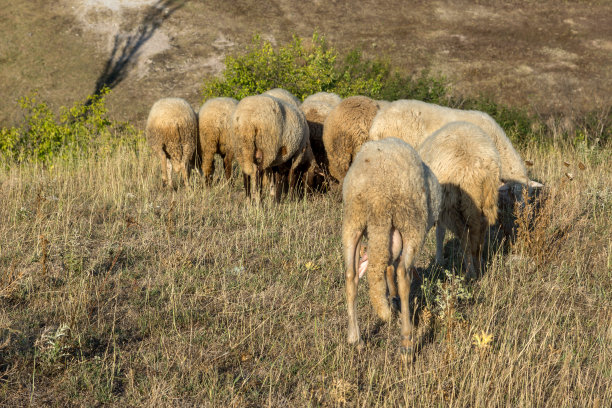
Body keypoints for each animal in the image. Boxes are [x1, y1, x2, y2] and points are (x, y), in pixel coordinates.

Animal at [344, 138, 440, 354]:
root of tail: (378, 196)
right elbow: (398, 272)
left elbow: (389, 269)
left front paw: (392, 301)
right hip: (412, 223)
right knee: (403, 274)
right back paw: (406, 342)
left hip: (353, 222)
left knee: (351, 276)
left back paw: (356, 338)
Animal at [416, 122, 502, 278]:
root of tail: (474, 172)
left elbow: (440, 233)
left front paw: (438, 260)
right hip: (487, 202)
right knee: (479, 239)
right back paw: (478, 267)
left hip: (453, 206)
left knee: (465, 241)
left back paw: (470, 273)